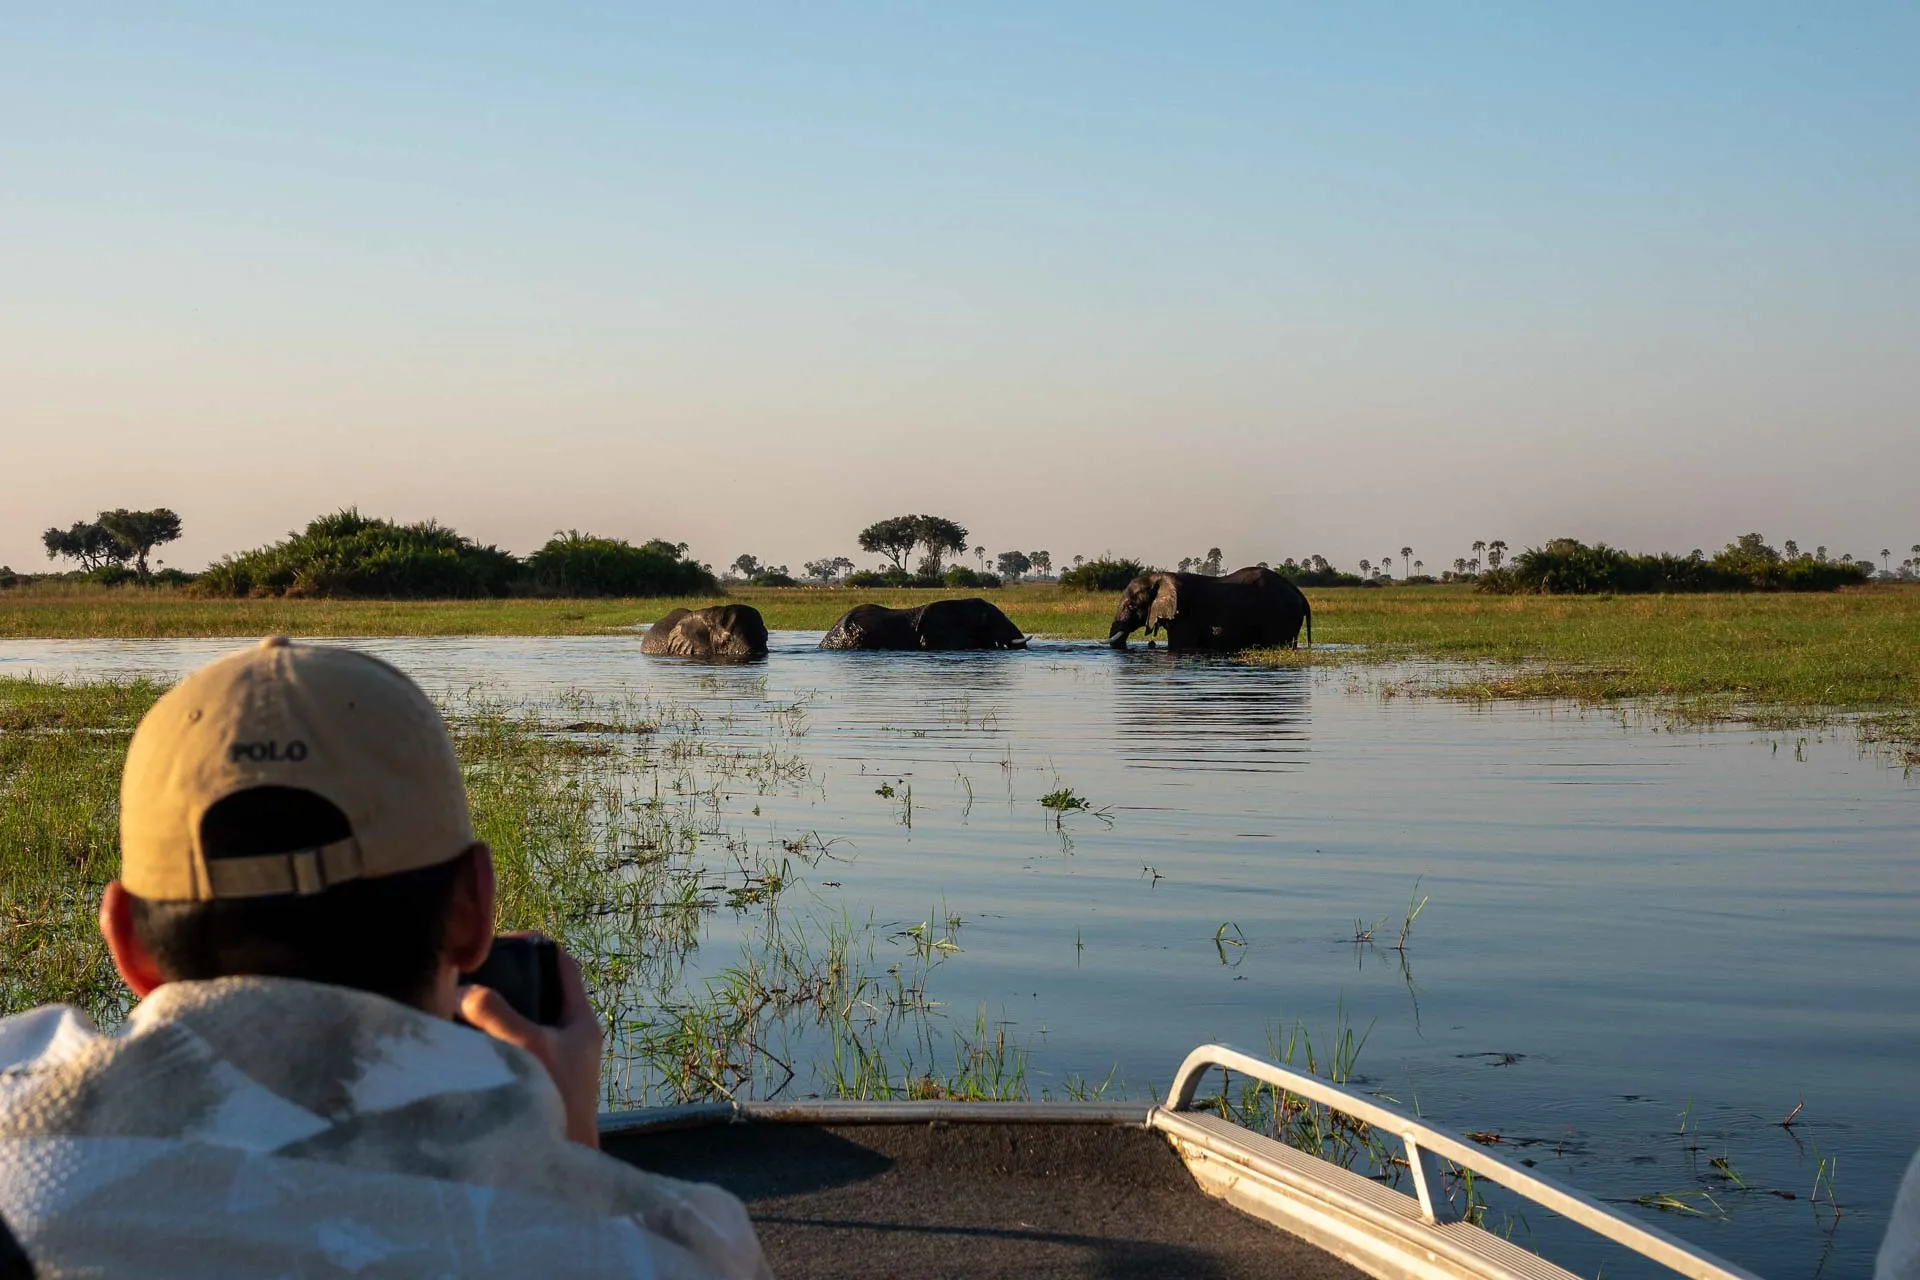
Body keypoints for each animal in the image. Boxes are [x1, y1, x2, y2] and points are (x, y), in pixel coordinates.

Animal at [1107, 566, 1311, 652]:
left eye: (1131, 606)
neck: (1159, 577)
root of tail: (1300, 594)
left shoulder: (1185, 614)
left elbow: (1180, 645)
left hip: (1281, 616)